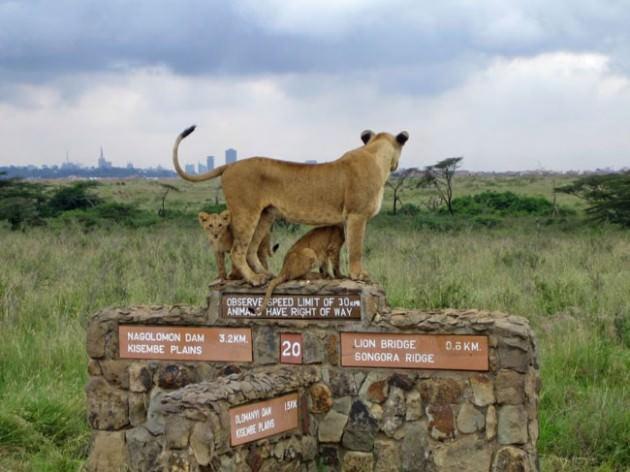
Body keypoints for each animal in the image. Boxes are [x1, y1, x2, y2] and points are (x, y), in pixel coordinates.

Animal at [174, 126, 408, 286]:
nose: (397, 165)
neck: (376, 155)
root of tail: (231, 164)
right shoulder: (357, 215)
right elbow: (357, 248)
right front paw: (359, 275)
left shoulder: (347, 219)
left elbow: (344, 249)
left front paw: (342, 275)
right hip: (246, 212)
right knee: (238, 251)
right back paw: (254, 279)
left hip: (265, 215)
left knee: (251, 249)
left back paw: (266, 274)